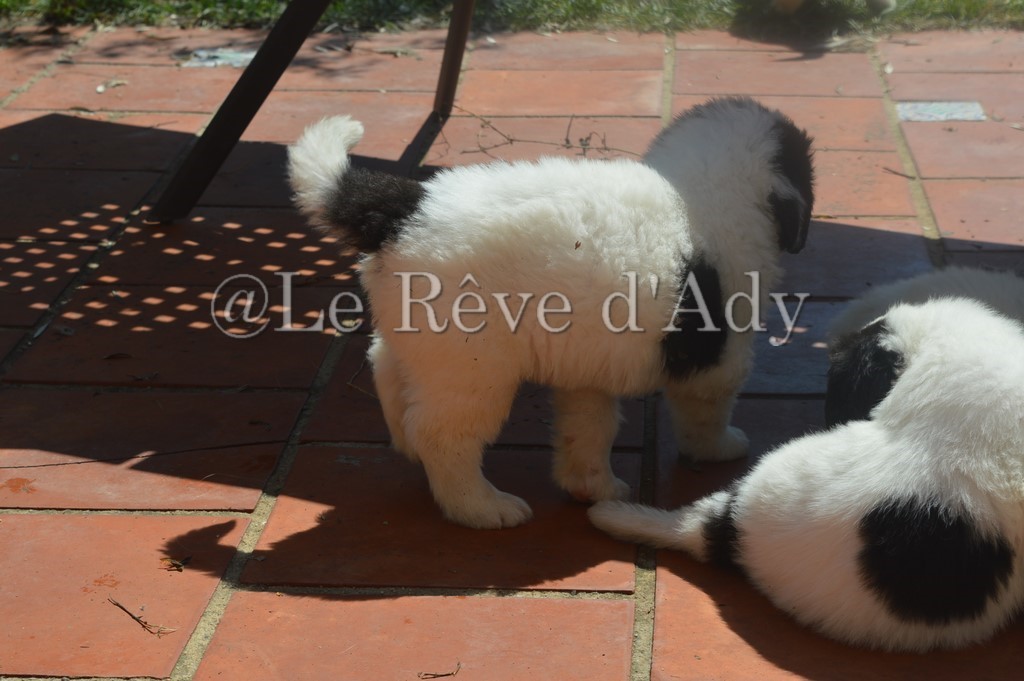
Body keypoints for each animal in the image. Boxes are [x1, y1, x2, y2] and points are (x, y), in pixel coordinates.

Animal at [288, 97, 814, 529]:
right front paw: (721, 447)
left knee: (386, 369)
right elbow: (706, 408)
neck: (699, 187)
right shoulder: (716, 354)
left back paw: (407, 445)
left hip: (422, 339)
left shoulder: (590, 365)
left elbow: (589, 424)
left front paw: (591, 486)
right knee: (444, 434)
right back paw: (482, 507)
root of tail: (406, 207)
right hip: (473, 363)